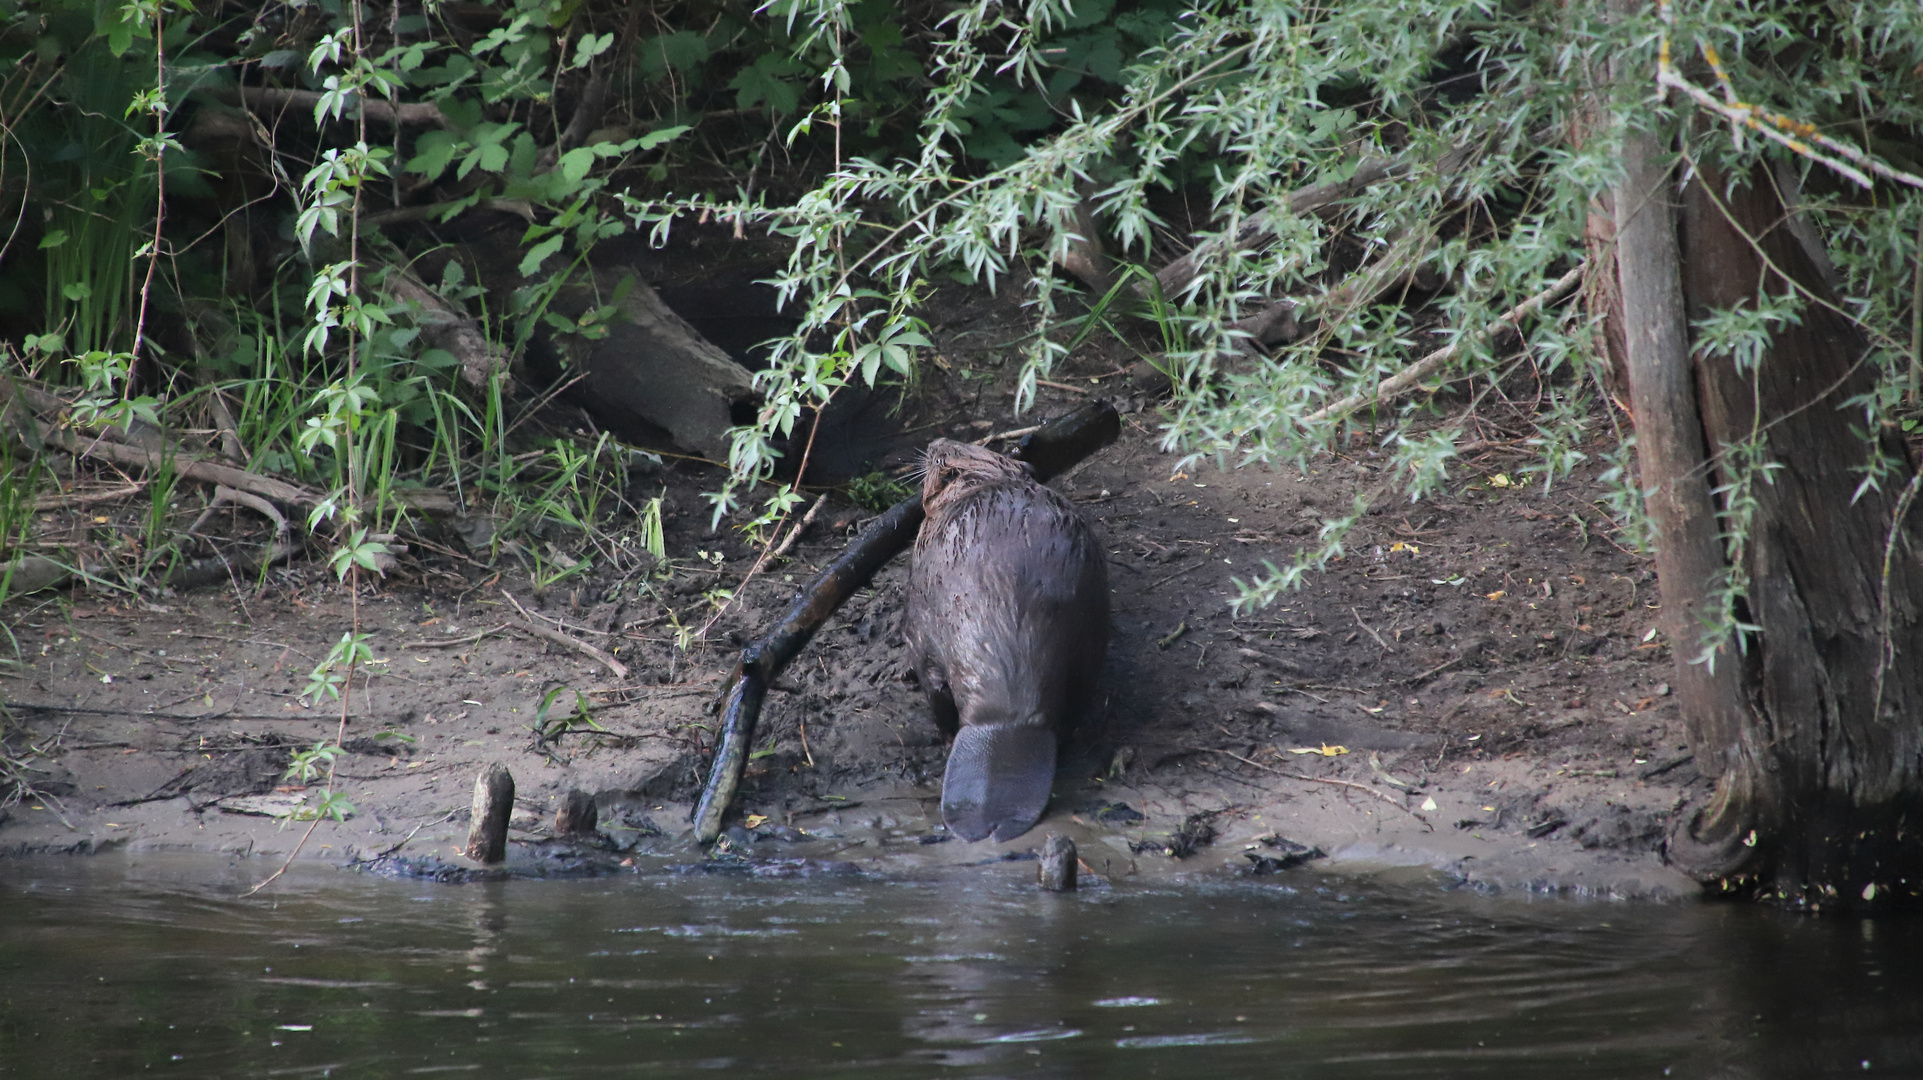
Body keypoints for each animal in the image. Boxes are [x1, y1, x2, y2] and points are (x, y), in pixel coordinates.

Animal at [903, 438, 1115, 841]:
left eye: (941, 461)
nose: (936, 443)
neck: (980, 482)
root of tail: (1005, 720)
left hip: (925, 635)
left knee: (935, 689)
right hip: (1091, 637)